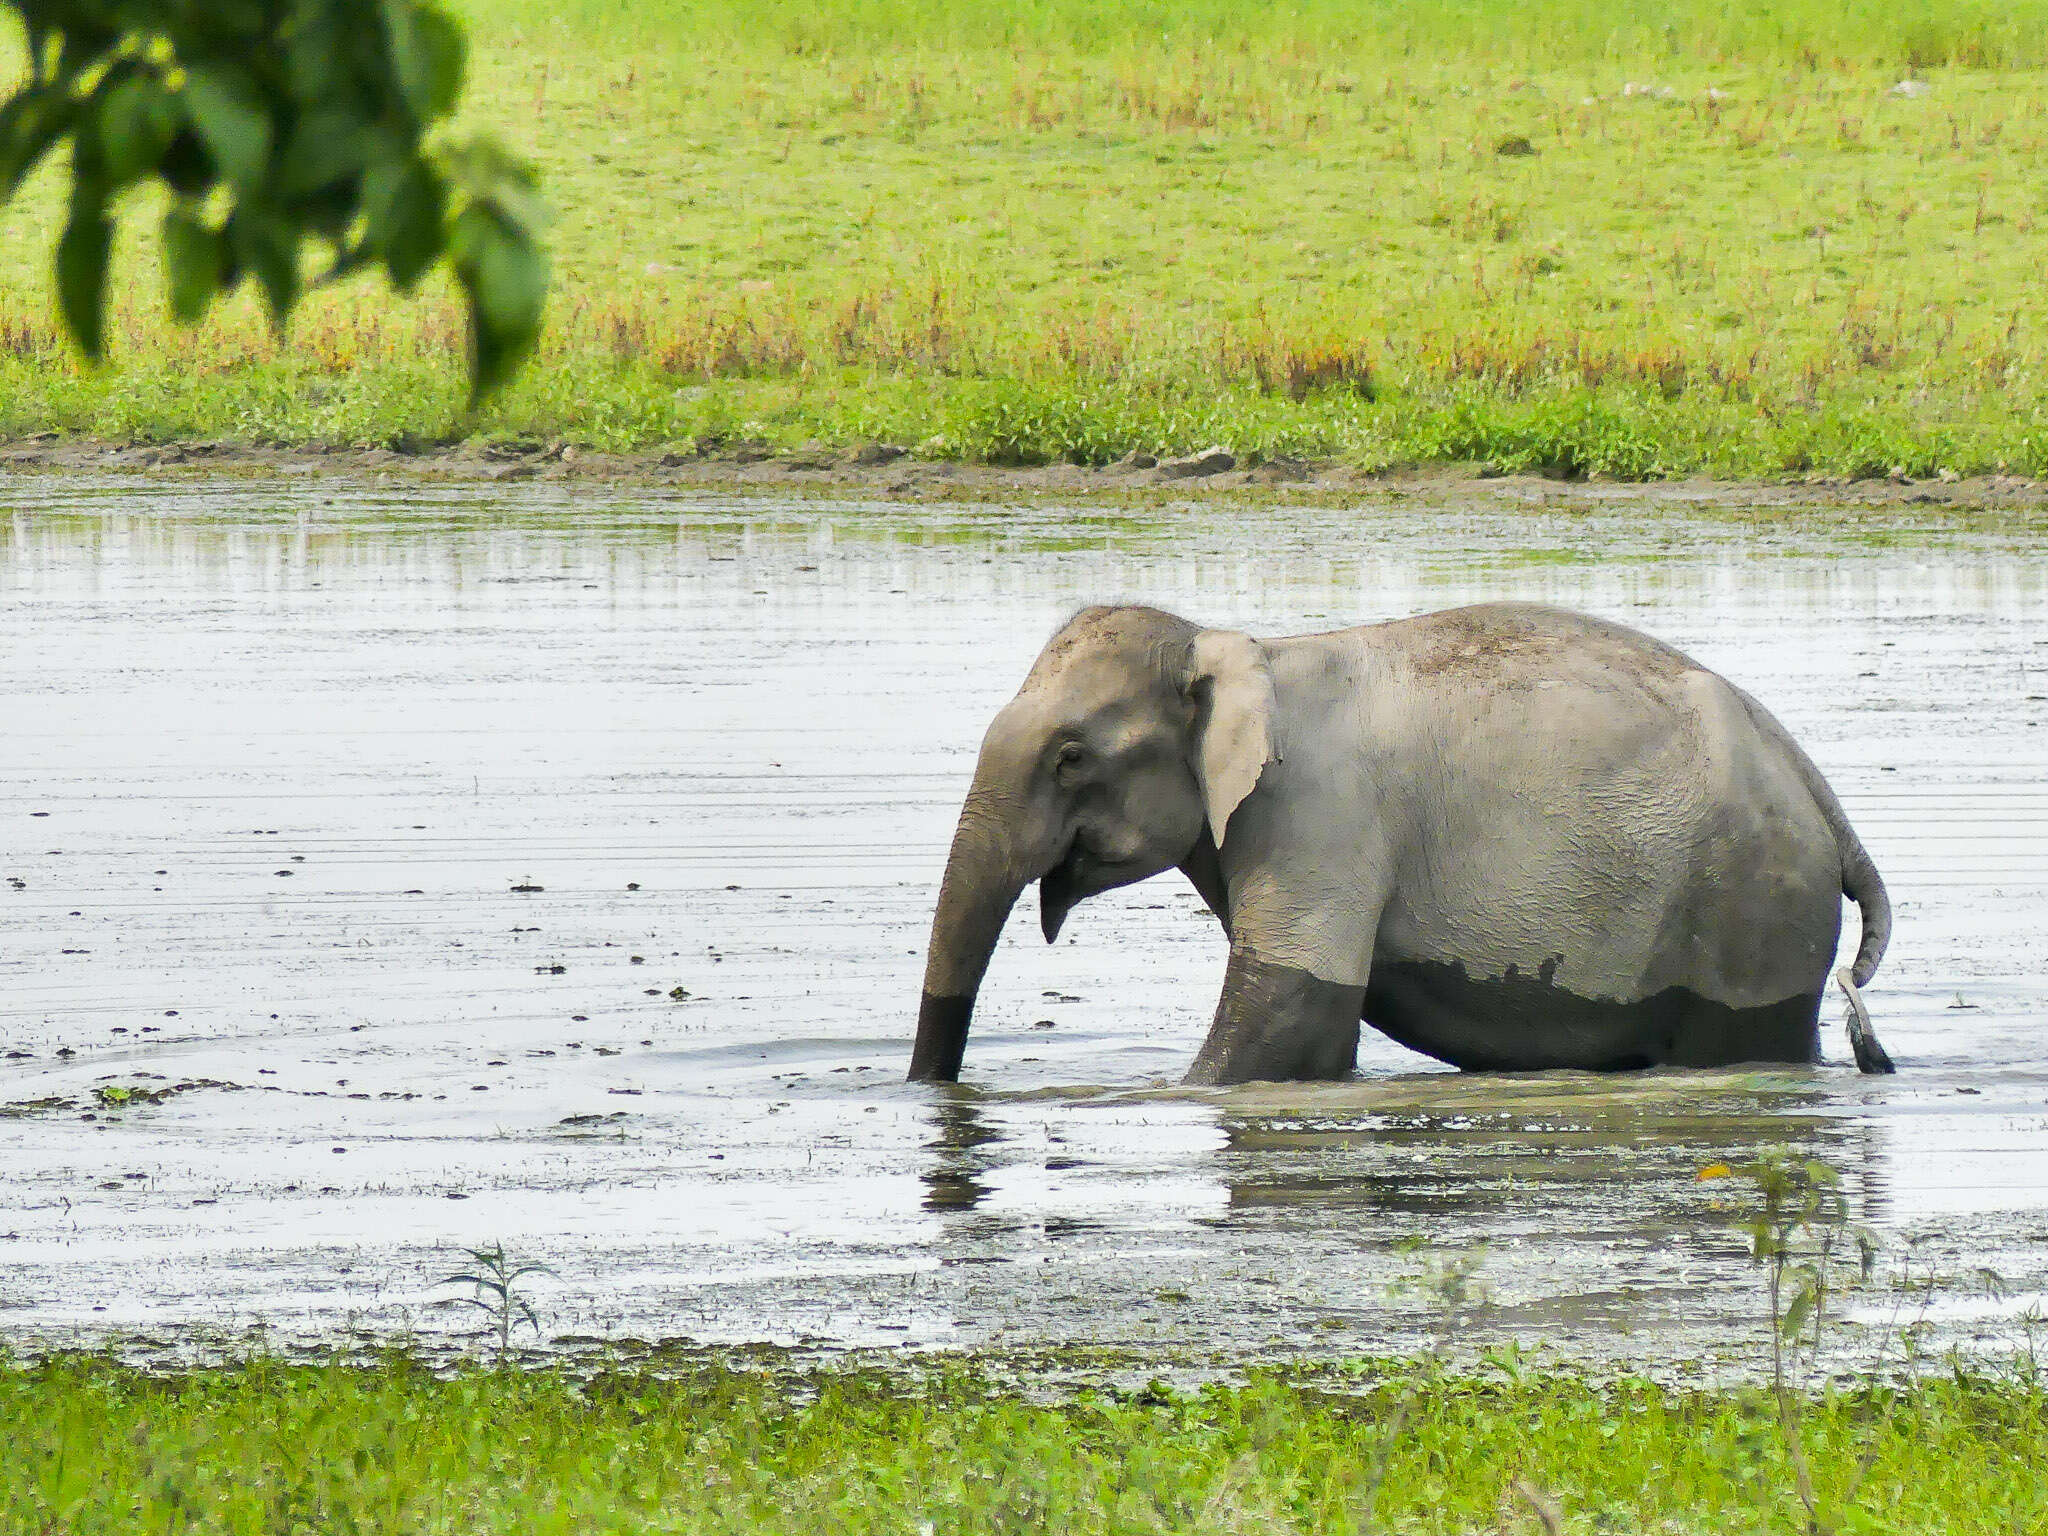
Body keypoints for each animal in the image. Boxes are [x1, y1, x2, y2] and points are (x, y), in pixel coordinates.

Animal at [905, 606, 1892, 1089]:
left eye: (1071, 757)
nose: (933, 1092)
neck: (1243, 649)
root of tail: (1825, 800)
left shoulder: (1319, 817)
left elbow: (1285, 1018)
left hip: (1749, 913)